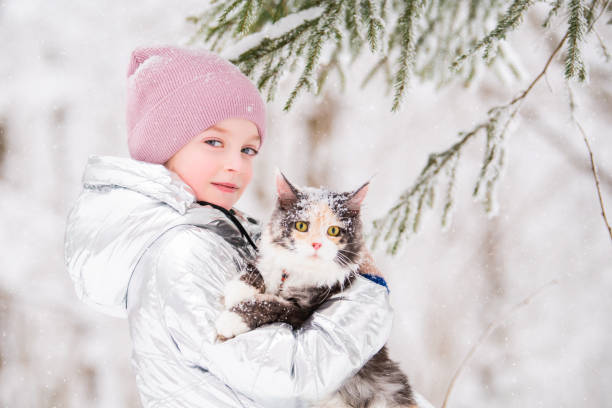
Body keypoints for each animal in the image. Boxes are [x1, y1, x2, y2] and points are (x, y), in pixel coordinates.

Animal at [215, 172, 416, 408]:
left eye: (334, 231)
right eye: (302, 226)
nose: (316, 245)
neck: (297, 272)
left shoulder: (302, 311)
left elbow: (271, 304)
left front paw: (232, 319)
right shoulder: (271, 261)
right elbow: (258, 268)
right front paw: (239, 289)